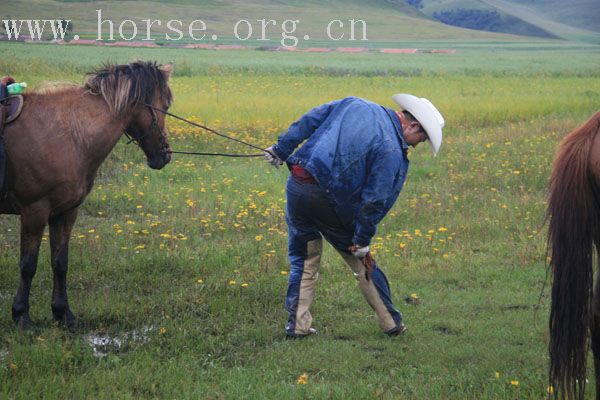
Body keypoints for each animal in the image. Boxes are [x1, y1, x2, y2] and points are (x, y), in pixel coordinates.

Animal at [0, 59, 173, 328]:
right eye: (164, 105)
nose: (165, 155)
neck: (69, 134)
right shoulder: (34, 212)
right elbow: (28, 265)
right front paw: (21, 315)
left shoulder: (65, 212)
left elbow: (60, 262)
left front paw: (63, 312)